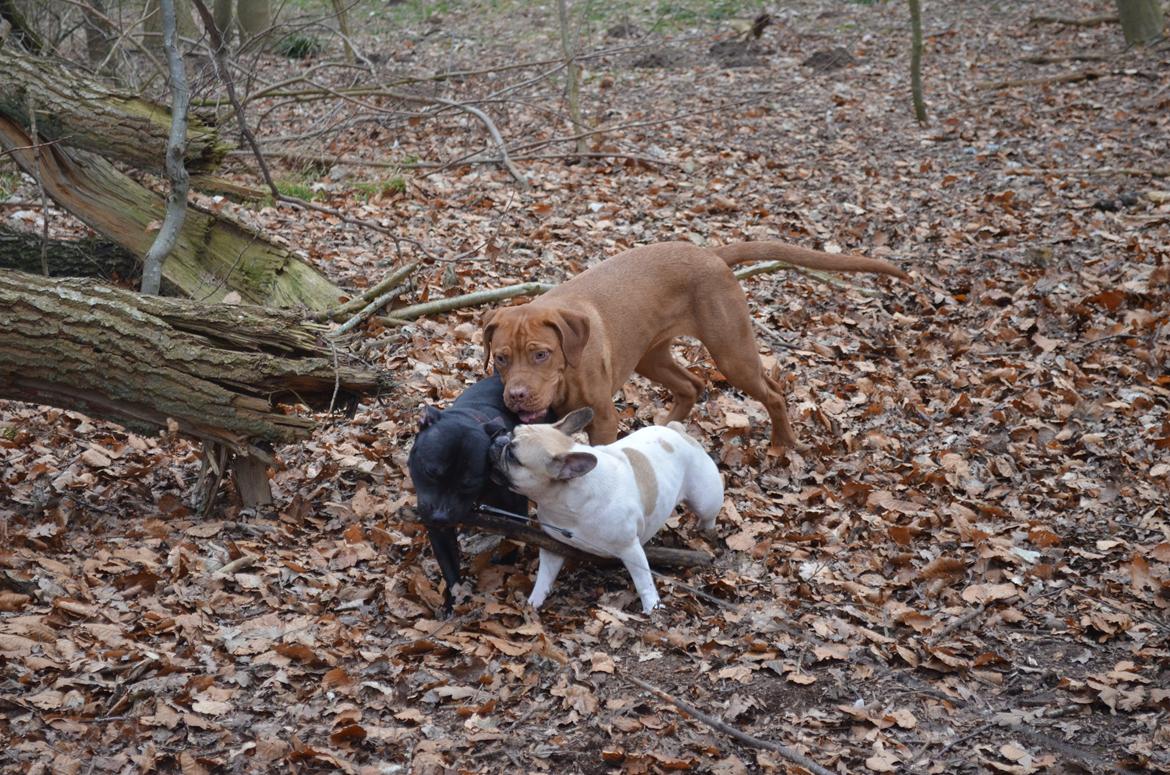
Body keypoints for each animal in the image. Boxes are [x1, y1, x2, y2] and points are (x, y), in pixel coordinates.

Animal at [404, 374, 535, 608]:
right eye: (430, 472)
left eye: (469, 484)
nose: (440, 516)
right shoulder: (438, 530)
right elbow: (449, 566)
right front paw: (452, 601)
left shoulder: (516, 513)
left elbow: (512, 542)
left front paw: (506, 572)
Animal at [479, 241, 907, 449]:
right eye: (500, 359)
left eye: (541, 354)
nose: (516, 396)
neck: (566, 374)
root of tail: (711, 254)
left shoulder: (602, 420)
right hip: (650, 356)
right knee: (693, 385)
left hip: (732, 353)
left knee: (772, 393)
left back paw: (784, 442)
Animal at [486, 409, 720, 618]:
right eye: (513, 431)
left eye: (513, 456)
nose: (500, 437)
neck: (567, 500)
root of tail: (677, 431)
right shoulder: (554, 545)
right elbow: (545, 575)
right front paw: (534, 601)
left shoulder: (629, 549)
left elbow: (643, 579)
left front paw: (652, 606)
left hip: (705, 498)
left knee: (708, 515)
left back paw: (705, 531)